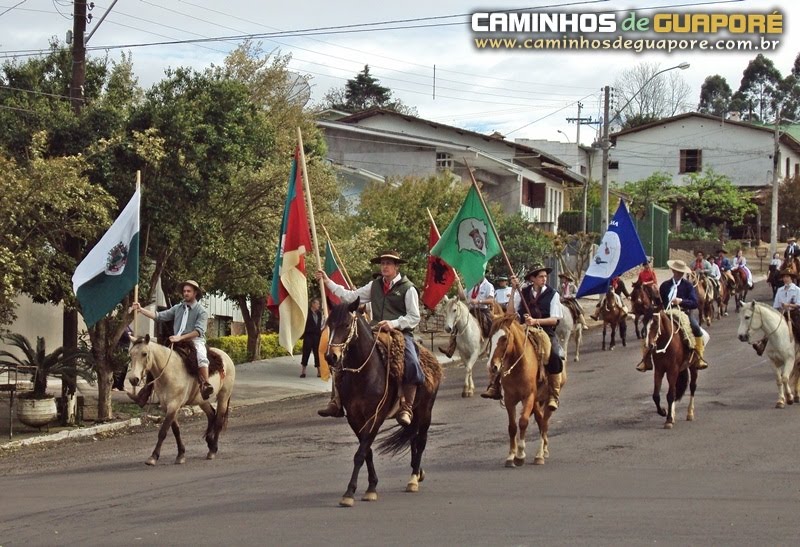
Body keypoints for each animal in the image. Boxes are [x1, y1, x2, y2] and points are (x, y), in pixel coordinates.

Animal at [127, 334, 234, 466]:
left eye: (144, 353)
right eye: (131, 354)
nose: (133, 379)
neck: (169, 372)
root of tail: (226, 357)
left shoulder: (174, 405)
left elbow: (163, 431)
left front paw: (153, 457)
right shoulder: (166, 406)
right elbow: (176, 430)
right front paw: (181, 454)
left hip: (224, 396)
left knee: (218, 421)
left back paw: (213, 450)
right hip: (202, 400)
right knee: (211, 415)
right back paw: (209, 442)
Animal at [324, 300, 444, 510]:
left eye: (346, 325)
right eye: (329, 324)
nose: (331, 357)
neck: (363, 373)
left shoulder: (375, 416)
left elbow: (361, 453)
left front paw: (350, 493)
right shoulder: (354, 418)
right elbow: (367, 452)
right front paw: (371, 486)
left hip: (425, 411)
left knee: (421, 441)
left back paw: (413, 478)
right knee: (413, 438)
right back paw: (418, 471)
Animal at [482, 314, 564, 468]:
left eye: (504, 338)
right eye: (490, 337)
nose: (492, 366)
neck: (519, 366)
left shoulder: (529, 397)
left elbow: (523, 422)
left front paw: (520, 455)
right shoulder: (509, 399)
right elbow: (512, 427)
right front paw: (510, 457)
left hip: (545, 401)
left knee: (544, 423)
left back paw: (540, 454)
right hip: (537, 402)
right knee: (540, 420)